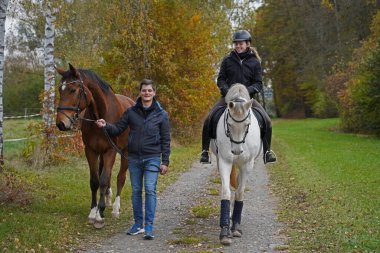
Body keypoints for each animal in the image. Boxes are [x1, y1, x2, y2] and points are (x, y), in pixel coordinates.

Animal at [55, 63, 134, 229]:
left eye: (73, 90)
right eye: (60, 89)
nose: (61, 124)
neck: (102, 115)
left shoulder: (110, 151)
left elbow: (103, 180)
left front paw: (100, 216)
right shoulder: (91, 151)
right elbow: (95, 181)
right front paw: (93, 211)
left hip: (125, 152)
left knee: (120, 177)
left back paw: (115, 208)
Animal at [211, 83, 262, 245]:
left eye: (247, 124)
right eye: (229, 124)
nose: (236, 151)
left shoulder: (247, 164)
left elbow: (240, 193)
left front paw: (236, 227)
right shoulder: (224, 161)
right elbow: (226, 192)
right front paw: (225, 231)